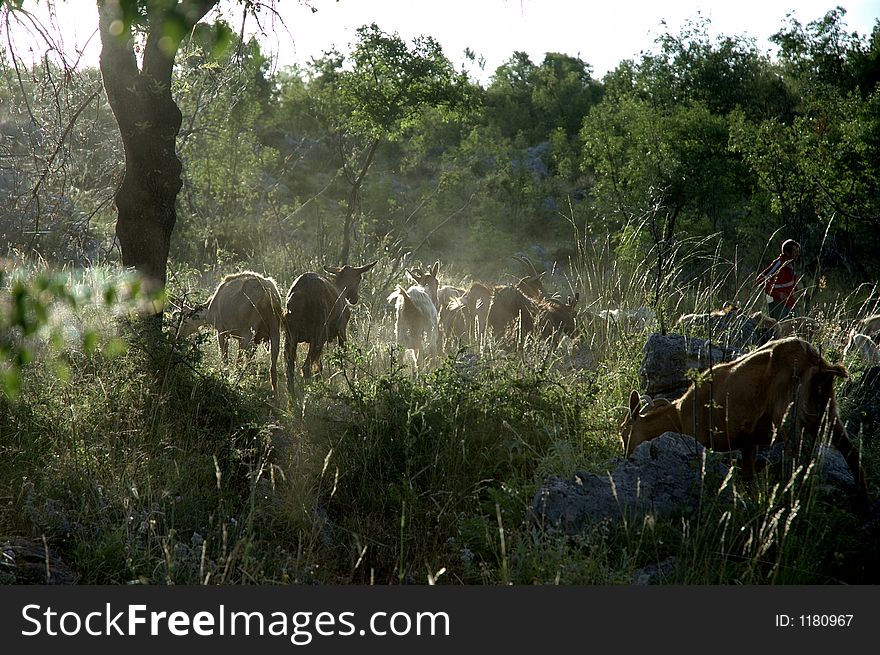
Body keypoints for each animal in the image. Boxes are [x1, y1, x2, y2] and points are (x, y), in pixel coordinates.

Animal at [624, 338, 868, 508]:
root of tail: (816, 362)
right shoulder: (749, 441)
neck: (680, 414)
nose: (626, 456)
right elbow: (749, 478)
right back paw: (863, 504)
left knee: (794, 461)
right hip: (828, 410)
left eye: (625, 431)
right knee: (851, 452)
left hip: (788, 413)